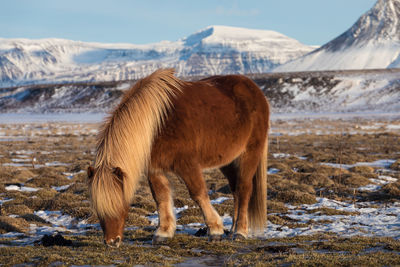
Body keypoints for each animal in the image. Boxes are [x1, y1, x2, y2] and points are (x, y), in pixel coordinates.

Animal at [87, 69, 268, 249]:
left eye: (118, 204)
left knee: (244, 188)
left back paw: (240, 232)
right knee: (235, 189)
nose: (112, 242)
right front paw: (163, 232)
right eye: (98, 208)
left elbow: (198, 193)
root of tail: (254, 89)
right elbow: (160, 196)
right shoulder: (154, 169)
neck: (156, 123)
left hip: (249, 154)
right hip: (229, 161)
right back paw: (232, 230)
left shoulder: (187, 165)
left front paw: (215, 230)